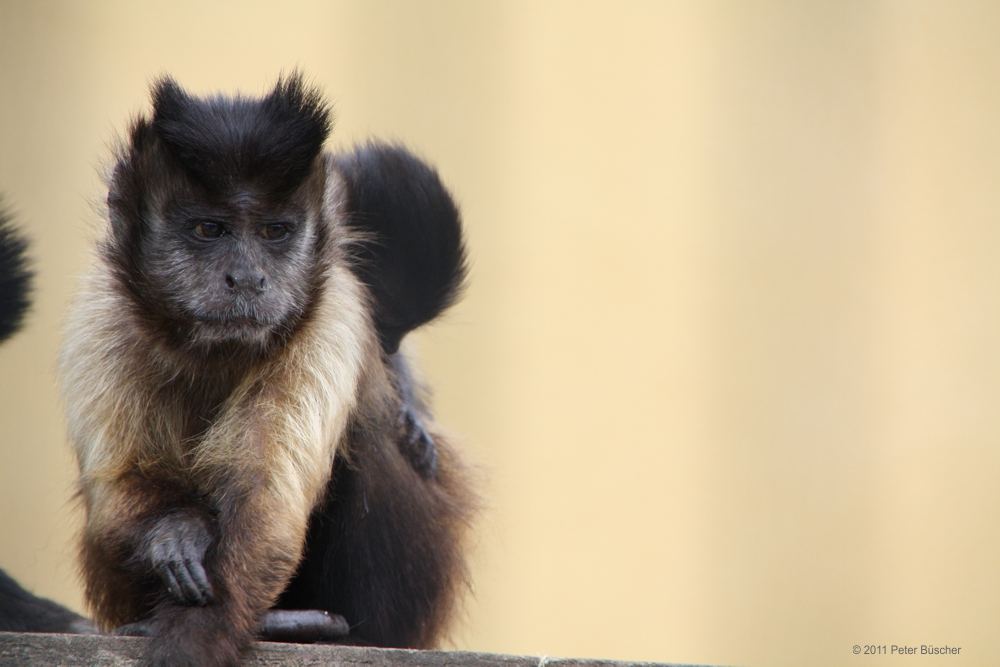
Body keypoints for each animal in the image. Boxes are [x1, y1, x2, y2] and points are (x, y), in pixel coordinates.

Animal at [60, 74, 474, 667]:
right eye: (209, 229)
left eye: (275, 232)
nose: (249, 278)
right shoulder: (101, 313)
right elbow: (118, 488)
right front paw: (174, 534)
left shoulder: (331, 317)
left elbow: (265, 505)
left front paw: (191, 640)